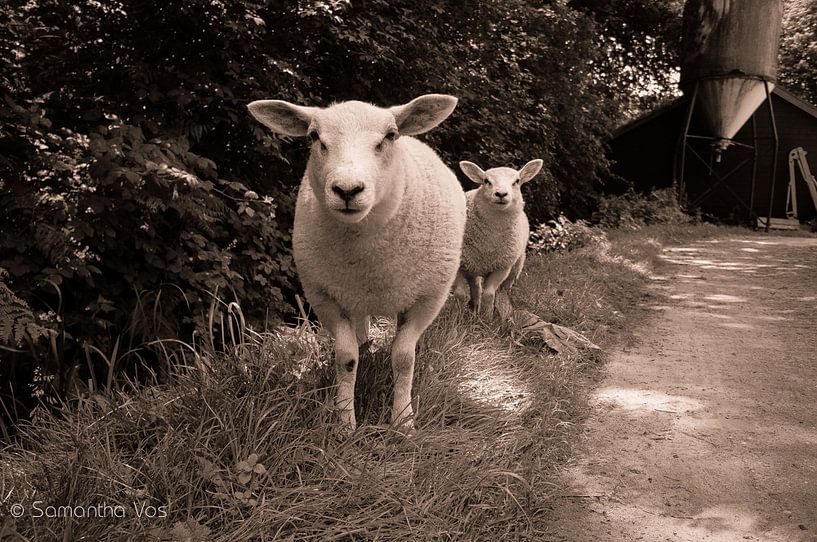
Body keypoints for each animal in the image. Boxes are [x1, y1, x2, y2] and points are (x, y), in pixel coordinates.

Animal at [247, 94, 466, 432]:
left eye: (390, 135)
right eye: (314, 137)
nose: (347, 190)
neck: (368, 258)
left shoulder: (428, 299)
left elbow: (404, 358)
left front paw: (403, 420)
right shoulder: (323, 296)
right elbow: (346, 358)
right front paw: (344, 421)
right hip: (351, 293)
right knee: (360, 326)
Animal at [454, 159, 543, 318]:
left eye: (517, 181)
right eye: (486, 181)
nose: (501, 194)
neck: (487, 243)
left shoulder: (502, 267)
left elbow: (489, 294)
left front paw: (486, 318)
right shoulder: (459, 263)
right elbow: (460, 293)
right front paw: (455, 317)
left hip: (515, 267)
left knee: (503, 290)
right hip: (472, 266)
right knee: (476, 288)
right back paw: (474, 309)